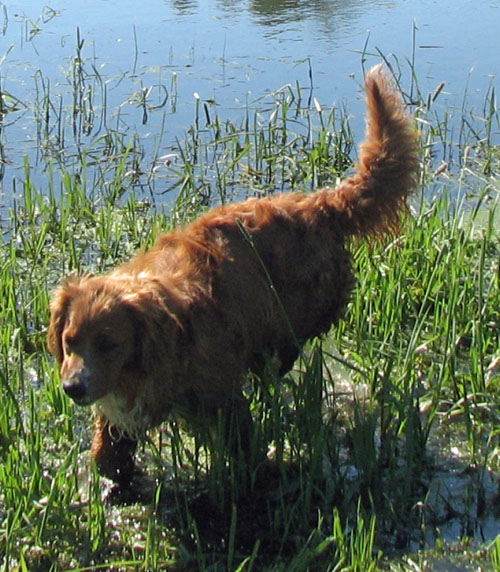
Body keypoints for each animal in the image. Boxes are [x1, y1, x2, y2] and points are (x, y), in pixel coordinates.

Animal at [48, 67, 420, 488]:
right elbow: (109, 458)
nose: (72, 388)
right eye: (69, 342)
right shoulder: (122, 413)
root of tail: (320, 204)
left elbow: (243, 450)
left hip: (291, 318)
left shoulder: (222, 399)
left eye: (109, 344)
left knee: (284, 354)